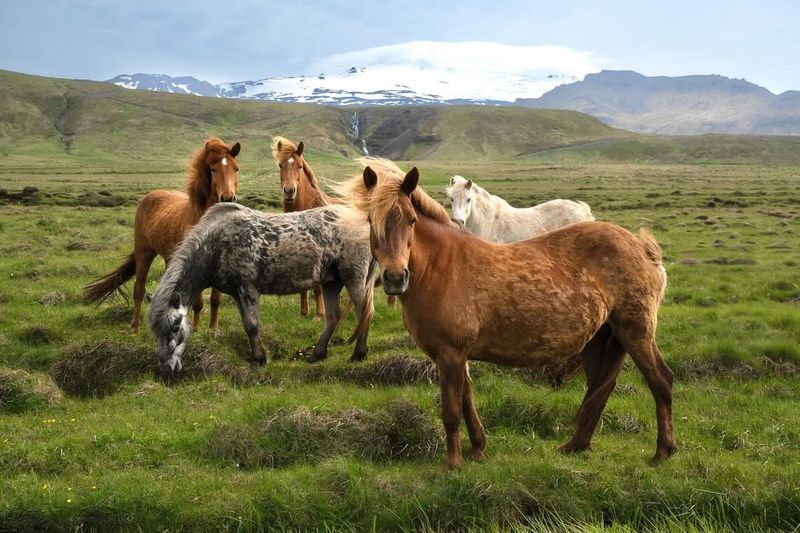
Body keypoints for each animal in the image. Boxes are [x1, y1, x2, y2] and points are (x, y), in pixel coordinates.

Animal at [85, 136, 241, 332]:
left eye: (236, 168)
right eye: (213, 169)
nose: (228, 198)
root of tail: (149, 196)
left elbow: (215, 299)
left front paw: (213, 329)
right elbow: (198, 302)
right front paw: (196, 330)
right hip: (144, 253)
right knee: (139, 289)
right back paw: (135, 327)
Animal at [270, 137, 342, 320]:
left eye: (300, 166)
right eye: (280, 165)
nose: (289, 191)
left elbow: (316, 286)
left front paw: (319, 314)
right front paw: (303, 312)